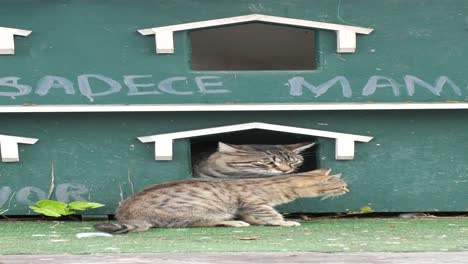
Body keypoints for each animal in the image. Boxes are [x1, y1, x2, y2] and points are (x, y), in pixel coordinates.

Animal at [94, 169, 348, 233]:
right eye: (341, 184)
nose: (348, 188)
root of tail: (128, 214)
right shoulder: (254, 203)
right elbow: (272, 215)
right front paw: (284, 222)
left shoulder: (247, 207)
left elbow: (259, 217)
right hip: (200, 210)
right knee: (204, 222)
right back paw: (234, 223)